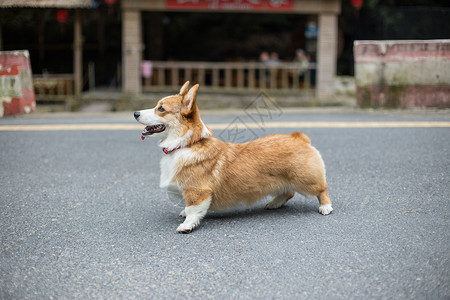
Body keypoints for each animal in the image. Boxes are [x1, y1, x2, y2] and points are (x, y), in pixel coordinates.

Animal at [132, 81, 332, 232]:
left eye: (161, 109)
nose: (135, 113)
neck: (185, 144)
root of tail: (298, 137)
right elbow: (188, 208)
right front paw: (184, 213)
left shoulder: (198, 192)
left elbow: (193, 210)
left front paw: (186, 225)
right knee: (288, 192)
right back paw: (274, 203)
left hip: (305, 180)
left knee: (322, 190)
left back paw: (325, 207)